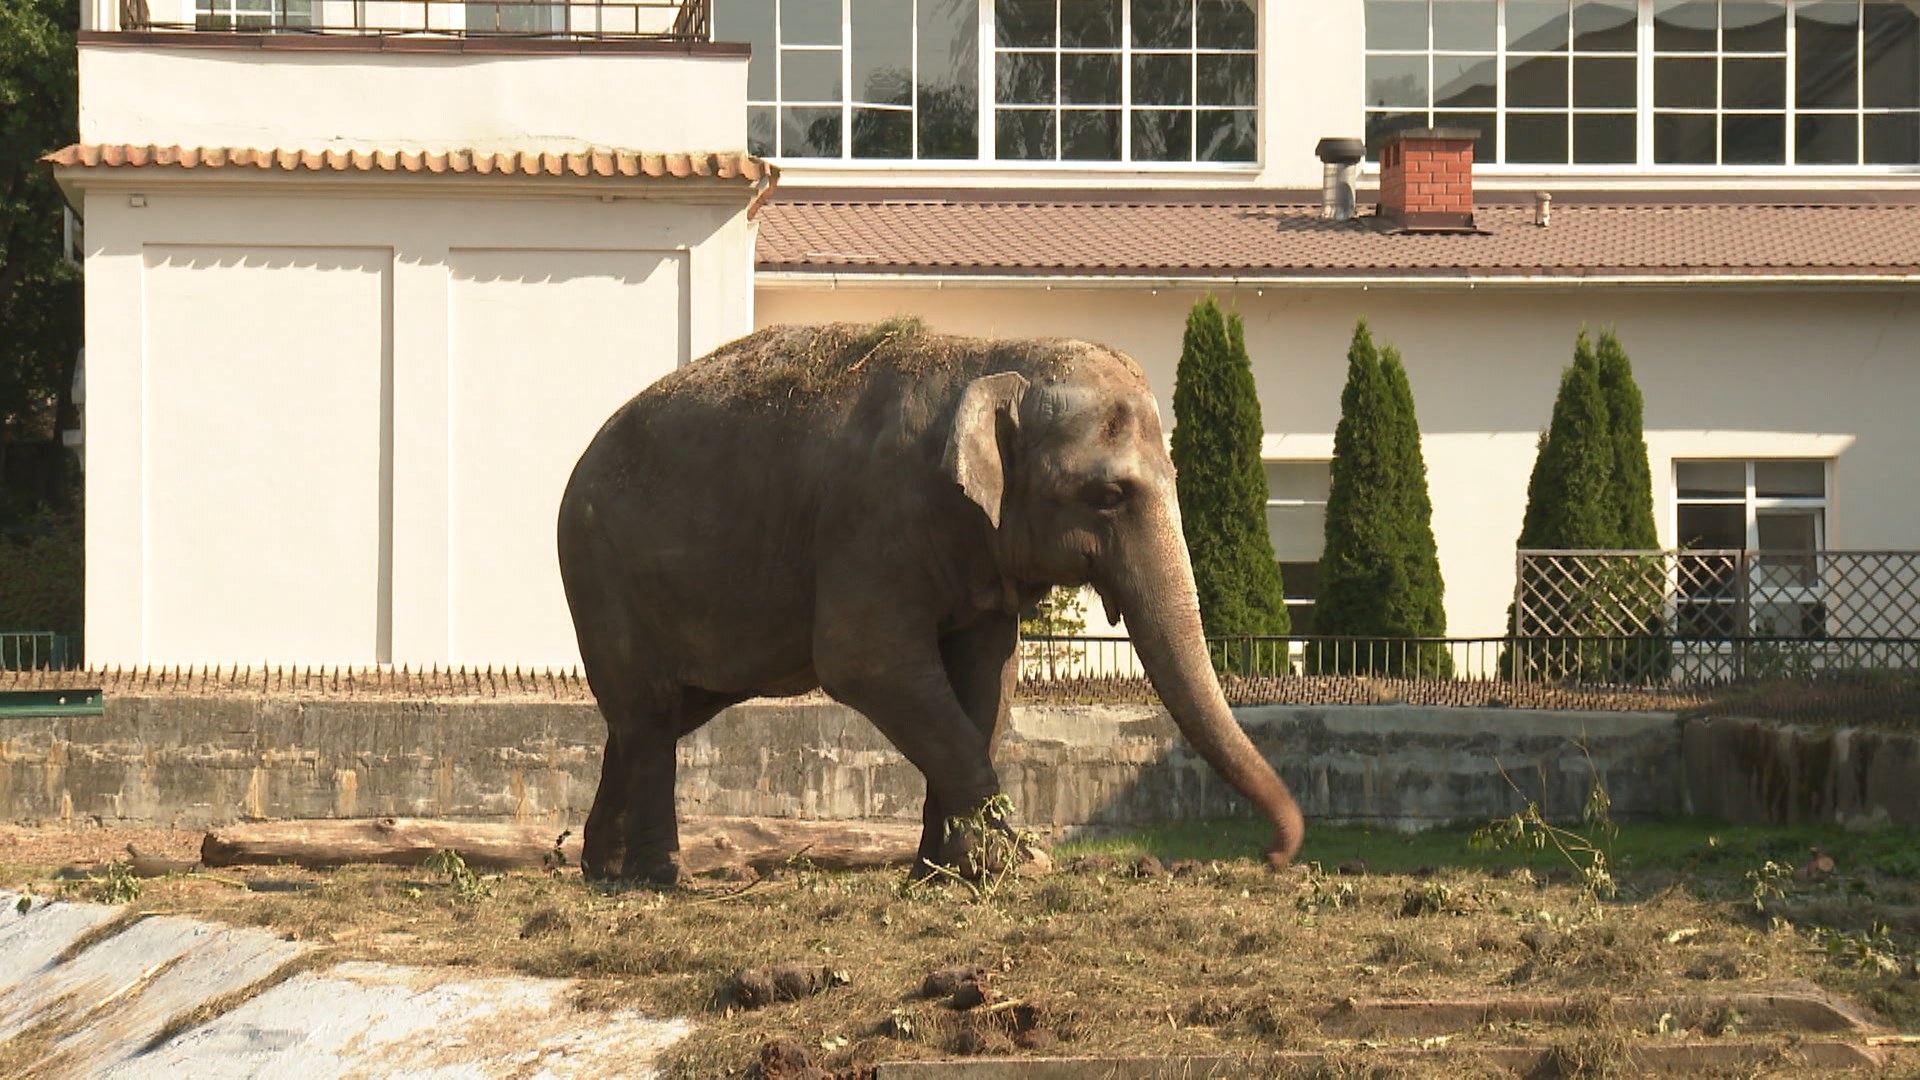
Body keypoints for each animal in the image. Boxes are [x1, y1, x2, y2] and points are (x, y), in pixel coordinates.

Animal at [556, 319, 1305, 883]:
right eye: (1108, 495)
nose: (1271, 855)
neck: (992, 356)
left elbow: (989, 676)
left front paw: (946, 873)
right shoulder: (872, 517)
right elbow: (867, 664)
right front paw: (1015, 866)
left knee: (657, 716)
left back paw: (603, 869)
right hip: (599, 573)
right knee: (649, 714)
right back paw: (660, 877)